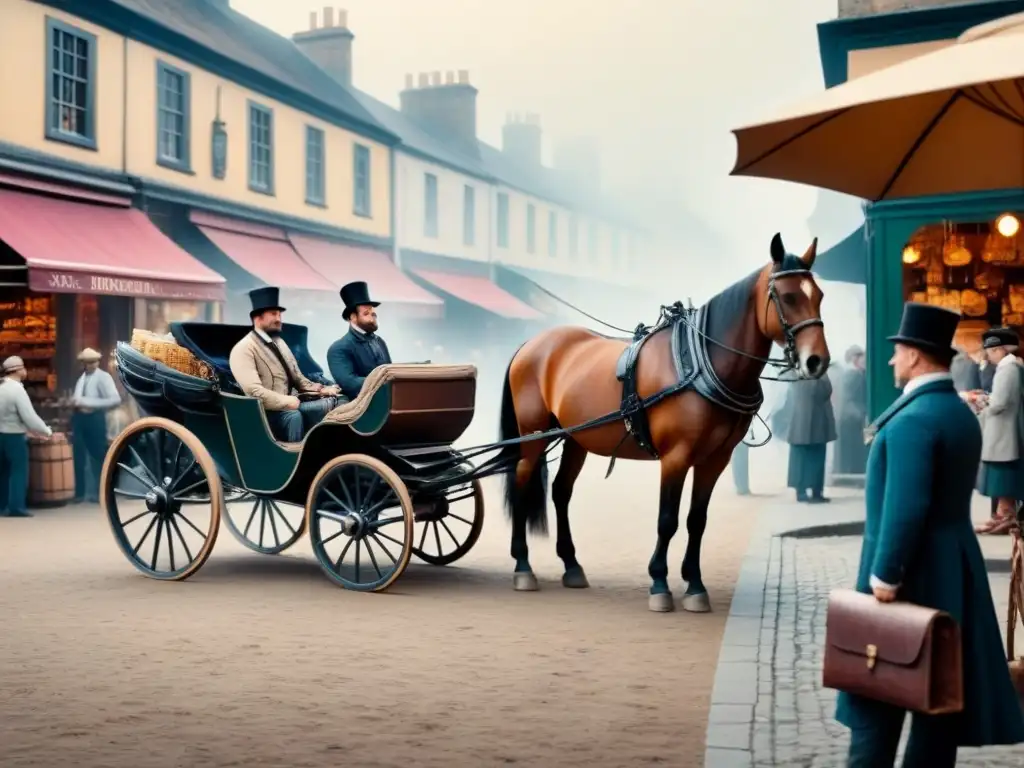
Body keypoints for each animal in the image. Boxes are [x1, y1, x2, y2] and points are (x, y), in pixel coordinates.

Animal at [495, 233, 831, 614]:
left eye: (818, 296)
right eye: (788, 297)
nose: (816, 360)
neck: (701, 363)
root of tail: (531, 343)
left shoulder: (715, 459)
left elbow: (696, 520)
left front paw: (695, 583)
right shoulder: (676, 457)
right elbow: (667, 520)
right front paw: (659, 582)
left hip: (575, 438)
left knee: (561, 491)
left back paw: (571, 564)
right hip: (532, 435)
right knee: (522, 483)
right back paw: (523, 565)